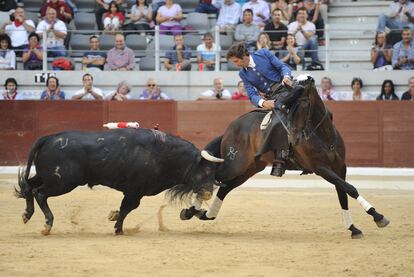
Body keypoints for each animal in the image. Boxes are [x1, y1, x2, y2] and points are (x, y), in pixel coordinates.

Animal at [16, 126, 223, 233]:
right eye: (205, 170)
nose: (207, 193)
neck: (163, 154)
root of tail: (49, 137)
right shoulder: (134, 191)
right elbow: (127, 208)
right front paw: (118, 228)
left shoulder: (134, 192)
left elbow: (125, 209)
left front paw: (114, 219)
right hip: (63, 181)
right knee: (40, 193)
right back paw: (47, 224)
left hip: (47, 176)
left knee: (29, 187)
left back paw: (27, 214)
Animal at [180, 76, 388, 238]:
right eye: (287, 108)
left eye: (302, 104)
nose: (294, 139)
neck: (323, 136)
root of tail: (230, 128)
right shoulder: (322, 169)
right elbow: (349, 189)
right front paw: (378, 216)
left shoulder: (340, 167)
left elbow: (343, 193)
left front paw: (354, 228)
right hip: (235, 164)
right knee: (213, 178)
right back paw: (191, 211)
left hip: (250, 168)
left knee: (225, 188)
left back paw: (205, 214)